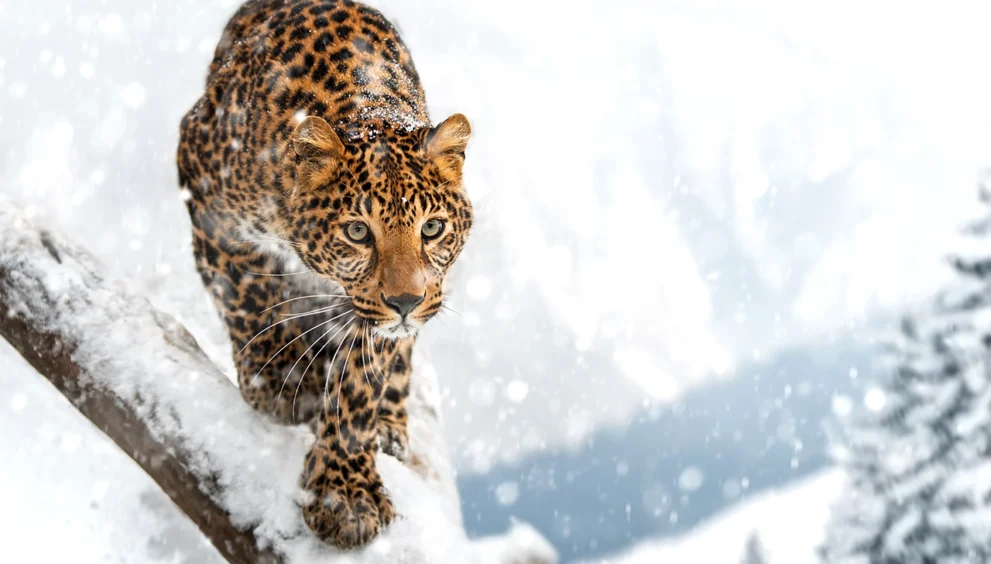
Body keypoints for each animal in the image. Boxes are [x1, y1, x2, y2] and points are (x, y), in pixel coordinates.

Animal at [175, 0, 472, 550]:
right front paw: (277, 377)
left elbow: (359, 386)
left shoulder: (372, 313)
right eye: (357, 231)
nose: (406, 302)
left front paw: (345, 494)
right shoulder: (202, 186)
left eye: (433, 228)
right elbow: (245, 289)